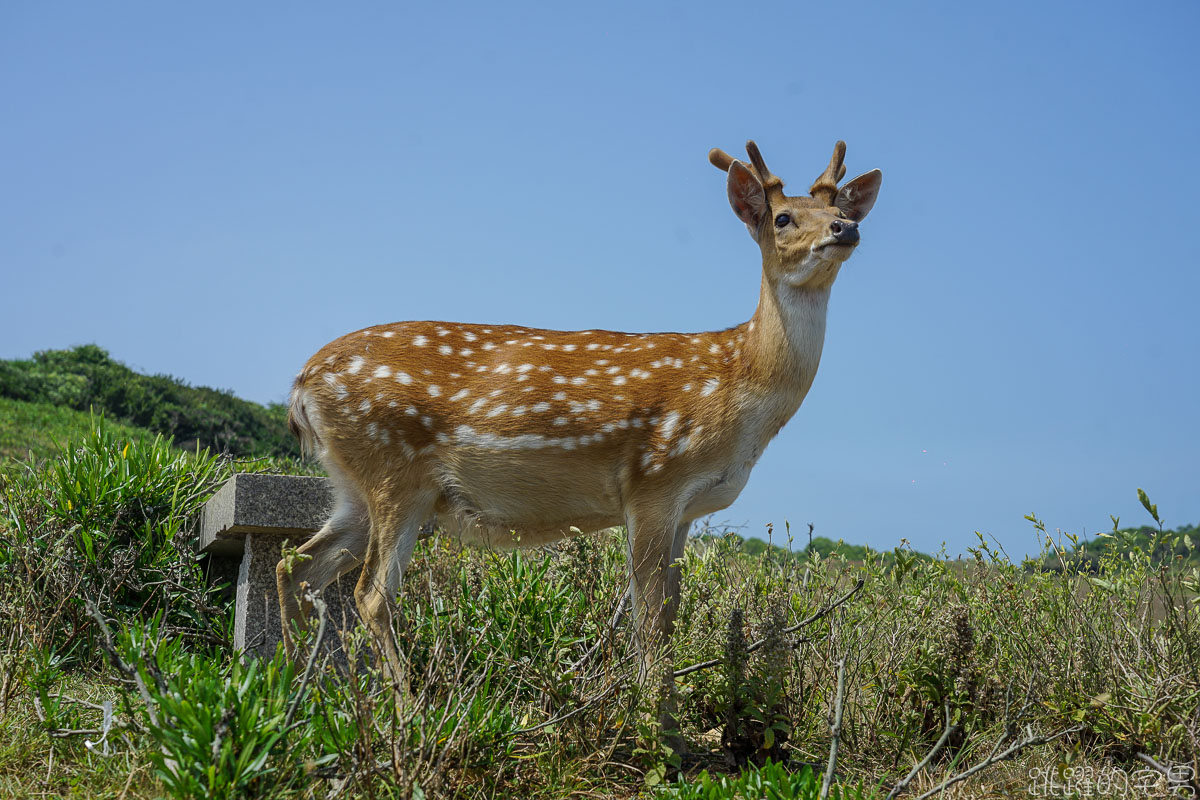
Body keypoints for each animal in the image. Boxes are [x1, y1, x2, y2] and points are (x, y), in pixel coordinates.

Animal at [278, 137, 883, 738]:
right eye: (782, 218)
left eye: (838, 208)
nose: (845, 229)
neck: (737, 387)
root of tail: (301, 385)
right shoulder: (653, 481)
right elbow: (647, 618)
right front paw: (651, 725)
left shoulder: (688, 510)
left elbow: (669, 616)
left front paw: (669, 724)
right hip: (393, 468)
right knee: (370, 594)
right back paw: (407, 714)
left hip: (355, 485)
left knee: (297, 568)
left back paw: (295, 692)